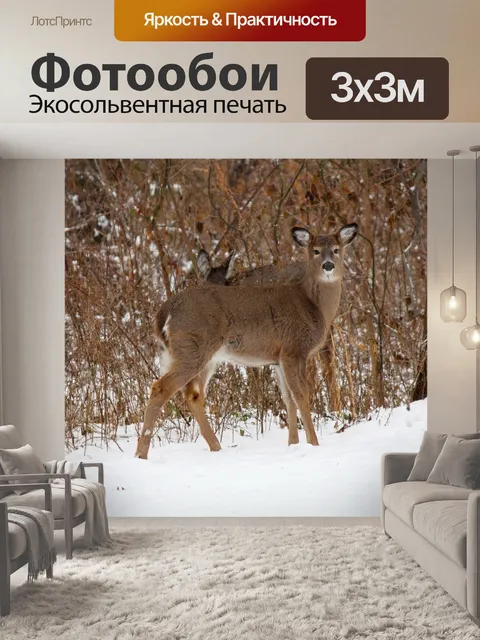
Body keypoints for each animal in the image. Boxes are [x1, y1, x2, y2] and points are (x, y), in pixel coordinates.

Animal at [135, 222, 358, 459]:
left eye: (336, 249)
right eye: (315, 251)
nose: (328, 265)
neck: (313, 305)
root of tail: (163, 313)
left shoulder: (278, 358)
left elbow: (288, 399)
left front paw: (293, 445)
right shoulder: (294, 349)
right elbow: (301, 396)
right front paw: (313, 443)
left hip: (200, 355)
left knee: (193, 394)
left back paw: (216, 447)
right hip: (192, 347)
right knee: (161, 387)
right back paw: (141, 454)